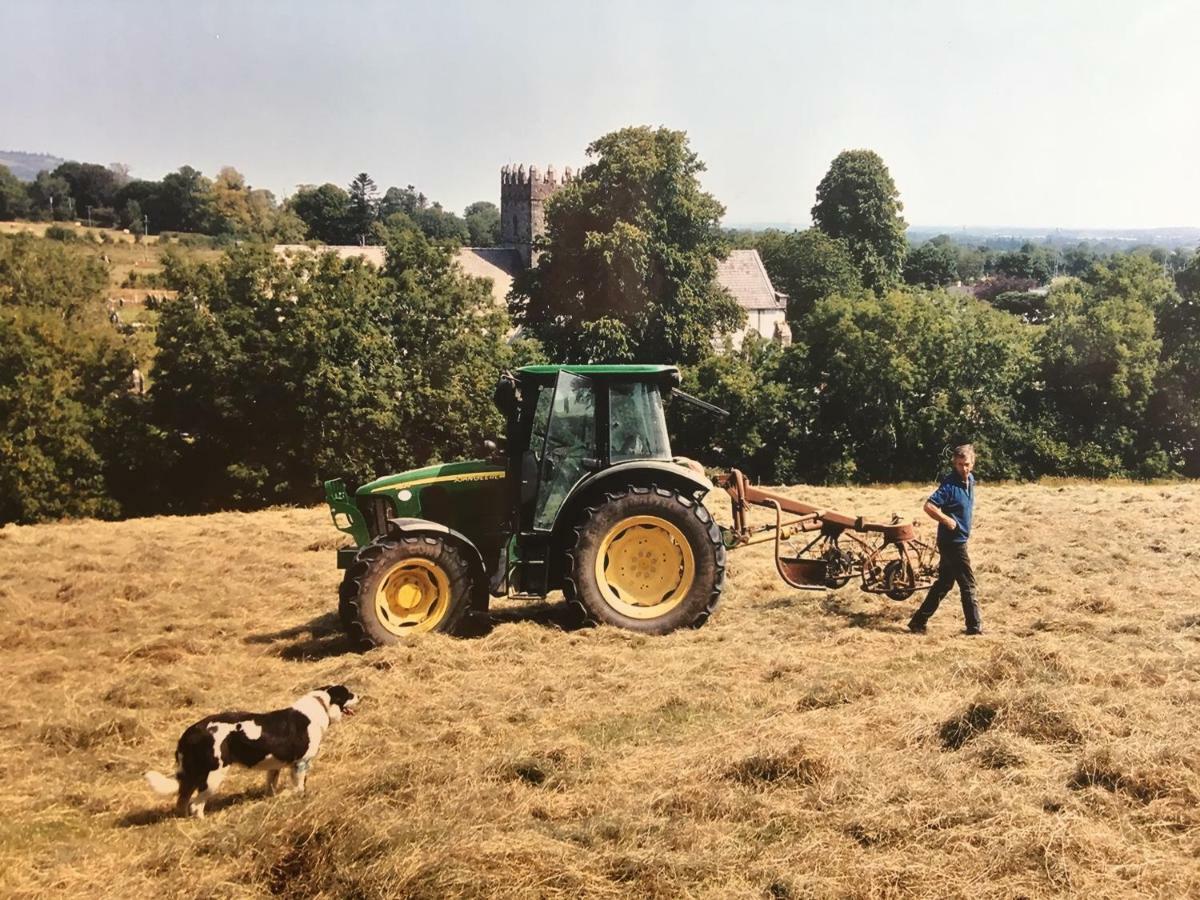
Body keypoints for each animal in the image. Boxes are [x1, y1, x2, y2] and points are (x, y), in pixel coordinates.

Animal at [147, 686, 357, 820]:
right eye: (348, 693)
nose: (360, 695)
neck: (321, 706)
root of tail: (190, 732)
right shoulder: (300, 764)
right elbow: (298, 788)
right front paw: (293, 799)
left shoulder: (274, 767)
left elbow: (271, 788)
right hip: (213, 776)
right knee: (196, 805)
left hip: (193, 776)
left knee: (182, 801)